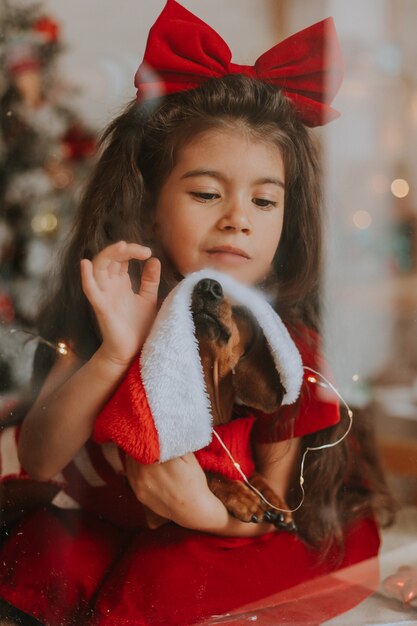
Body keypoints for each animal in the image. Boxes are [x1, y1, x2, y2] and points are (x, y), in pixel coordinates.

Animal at [191, 278, 292, 528]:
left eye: (242, 311)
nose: (208, 285)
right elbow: (210, 471)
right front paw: (243, 497)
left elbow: (254, 474)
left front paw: (274, 500)